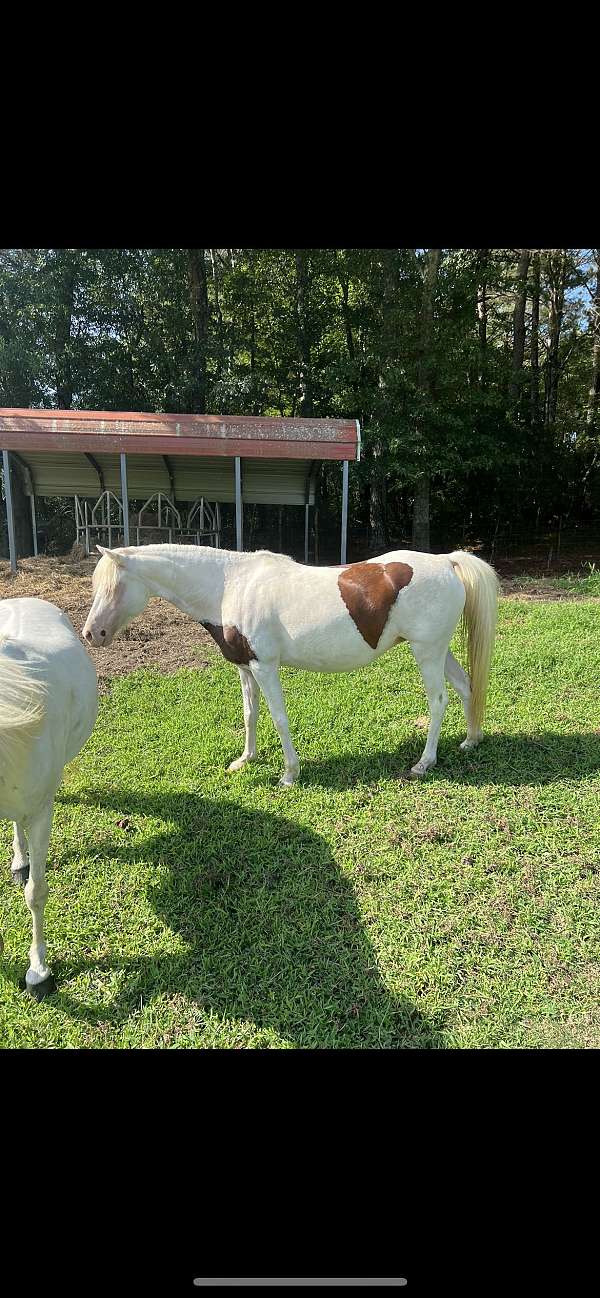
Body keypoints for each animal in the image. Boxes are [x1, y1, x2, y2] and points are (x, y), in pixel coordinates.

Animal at [82, 543, 499, 787]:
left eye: (115, 587)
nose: (91, 634)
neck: (229, 585)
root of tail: (446, 561)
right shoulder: (245, 667)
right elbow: (250, 714)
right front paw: (245, 760)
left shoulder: (265, 666)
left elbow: (279, 718)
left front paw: (289, 774)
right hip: (438, 649)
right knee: (465, 687)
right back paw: (470, 739)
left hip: (427, 651)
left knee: (439, 700)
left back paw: (424, 763)